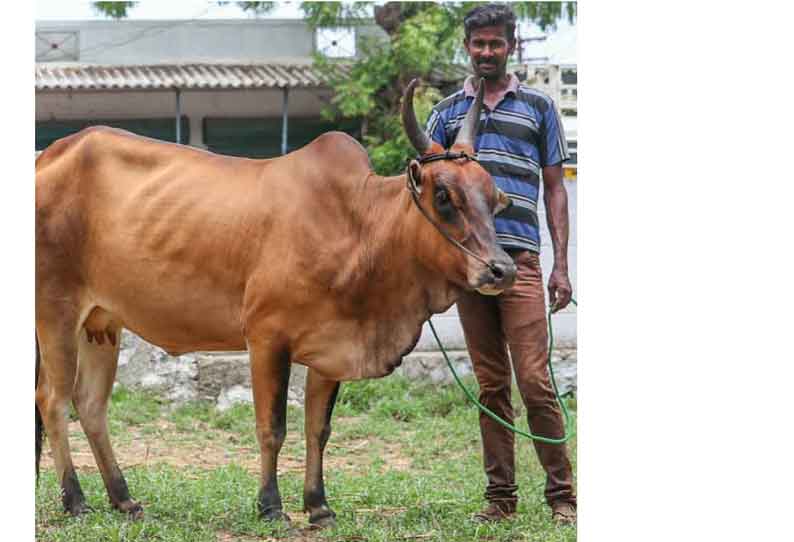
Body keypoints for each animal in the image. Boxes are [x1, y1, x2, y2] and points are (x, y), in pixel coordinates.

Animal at [35, 78, 512, 528]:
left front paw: (319, 506)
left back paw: (123, 498)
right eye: (444, 195)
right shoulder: (266, 338)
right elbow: (273, 428)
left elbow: (318, 429)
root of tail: (48, 156)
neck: (358, 226)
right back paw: (75, 500)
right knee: (54, 401)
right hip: (55, 311)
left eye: (493, 198)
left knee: (91, 407)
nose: (501, 270)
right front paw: (270, 505)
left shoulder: (331, 350)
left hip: (101, 323)